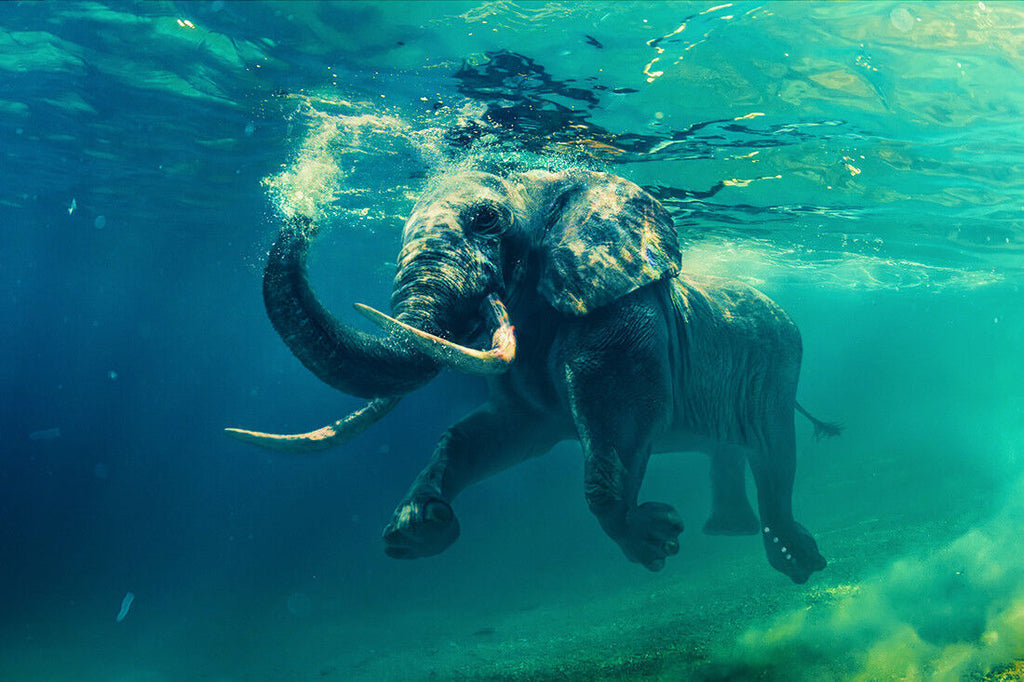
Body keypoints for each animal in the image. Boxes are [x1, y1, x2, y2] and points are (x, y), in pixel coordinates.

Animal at [226, 168, 840, 584]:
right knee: (732, 451)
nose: (304, 212)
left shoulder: (621, 319)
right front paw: (416, 531)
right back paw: (733, 535)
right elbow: (491, 434)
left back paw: (798, 563)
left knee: (773, 454)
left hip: (779, 366)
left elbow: (620, 421)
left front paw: (656, 540)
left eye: (486, 220)